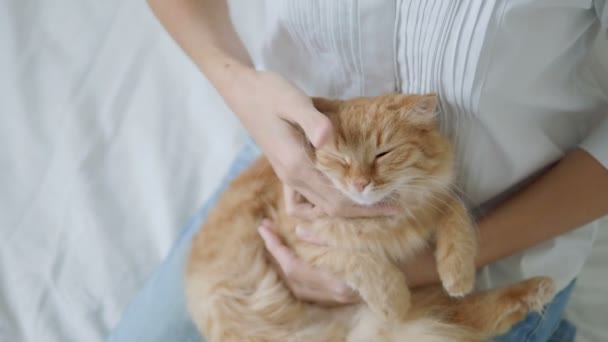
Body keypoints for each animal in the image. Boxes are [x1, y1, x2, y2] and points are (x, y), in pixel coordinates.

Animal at [186, 94, 556, 342]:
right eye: (340, 159)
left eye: (383, 154)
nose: (360, 183)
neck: (384, 221)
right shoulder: (303, 244)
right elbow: (360, 263)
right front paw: (394, 299)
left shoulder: (433, 201)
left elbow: (456, 215)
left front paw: (457, 273)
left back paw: (537, 288)